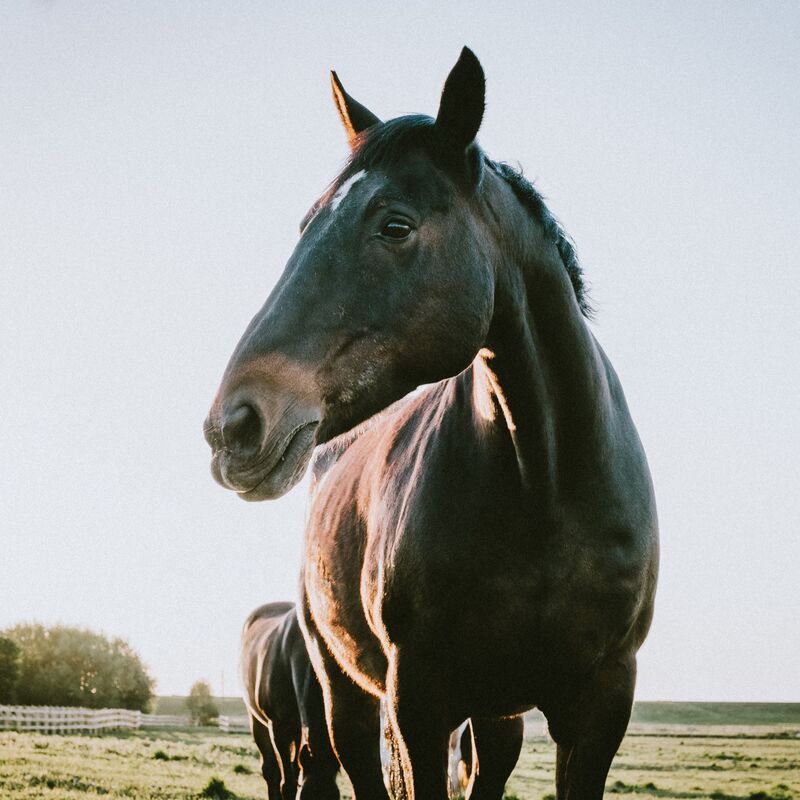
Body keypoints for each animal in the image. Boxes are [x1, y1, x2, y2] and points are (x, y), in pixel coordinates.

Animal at [238, 604, 338, 800]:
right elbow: (287, 784)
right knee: (271, 772)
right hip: (258, 722)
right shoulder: (279, 728)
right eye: (305, 797)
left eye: (335, 796)